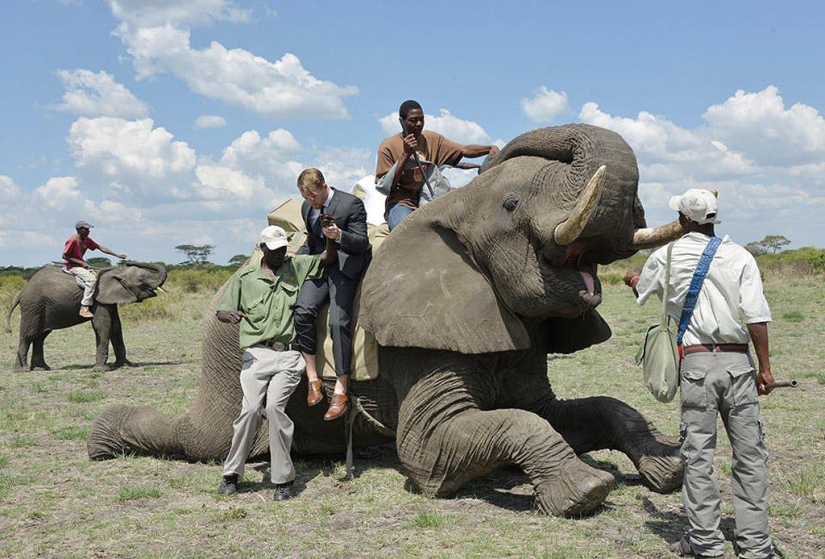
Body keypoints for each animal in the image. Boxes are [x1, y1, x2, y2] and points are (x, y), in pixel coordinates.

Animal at [6, 262, 167, 372]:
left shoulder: (108, 299)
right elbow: (103, 326)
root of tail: (22, 291)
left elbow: (116, 327)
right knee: (29, 334)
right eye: (141, 280)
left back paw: (42, 368)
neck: (114, 273)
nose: (126, 260)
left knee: (41, 336)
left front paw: (124, 364)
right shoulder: (97, 299)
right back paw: (22, 370)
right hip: (33, 305)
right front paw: (102, 370)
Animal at [87, 124, 684, 520]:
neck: (450, 219)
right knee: (207, 440)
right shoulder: (421, 343)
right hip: (225, 342)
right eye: (512, 205)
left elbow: (575, 410)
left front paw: (668, 470)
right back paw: (100, 441)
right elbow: (434, 450)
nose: (487, 152)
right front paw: (587, 491)